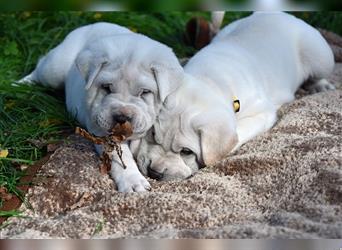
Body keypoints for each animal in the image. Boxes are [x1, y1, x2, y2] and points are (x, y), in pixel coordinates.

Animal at [20, 23, 183, 191]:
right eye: (106, 87)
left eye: (145, 92)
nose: (122, 117)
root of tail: (92, 24)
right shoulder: (103, 132)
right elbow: (121, 156)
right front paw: (133, 181)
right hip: (55, 69)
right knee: (40, 67)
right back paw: (19, 85)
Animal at [133, 11, 334, 181]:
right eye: (152, 135)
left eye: (186, 152)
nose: (154, 173)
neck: (208, 80)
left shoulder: (263, 113)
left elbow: (237, 134)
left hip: (321, 56)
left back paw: (321, 85)